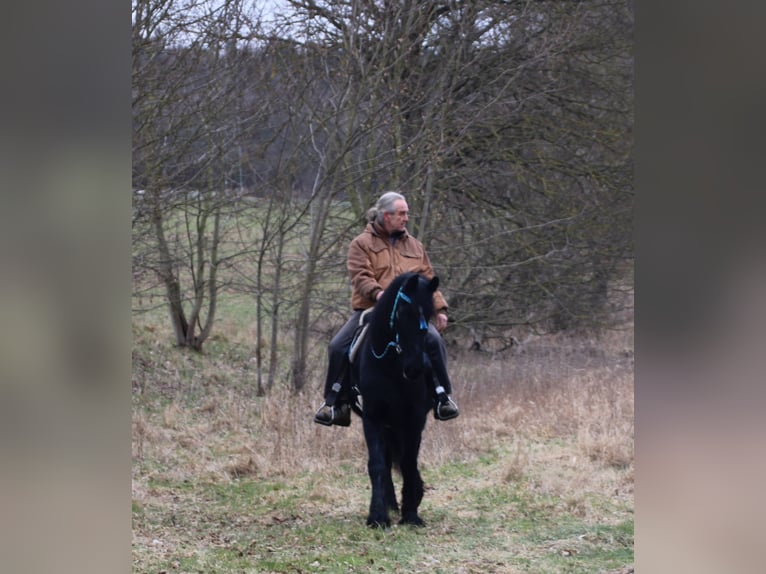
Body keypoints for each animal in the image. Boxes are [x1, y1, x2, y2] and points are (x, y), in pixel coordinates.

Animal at [352, 272, 438, 528]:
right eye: (402, 312)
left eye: (429, 313)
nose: (414, 368)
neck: (390, 367)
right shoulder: (373, 417)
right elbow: (377, 463)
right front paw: (377, 516)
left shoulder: (415, 419)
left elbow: (409, 462)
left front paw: (411, 512)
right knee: (388, 459)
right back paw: (390, 503)